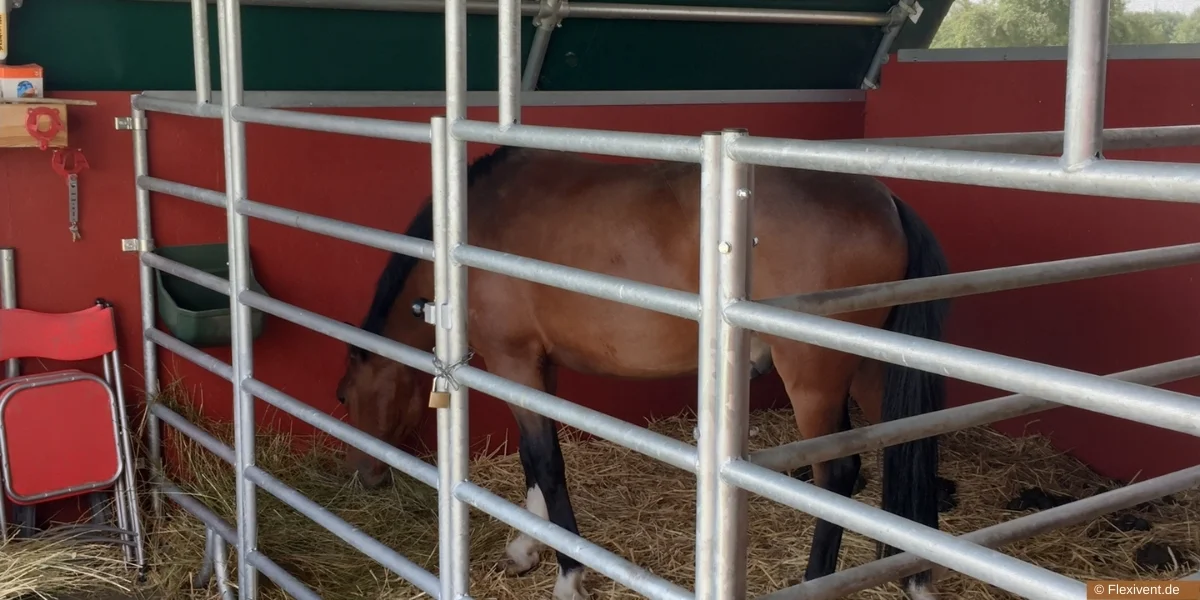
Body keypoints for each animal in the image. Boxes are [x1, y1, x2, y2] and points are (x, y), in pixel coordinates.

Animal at [336, 145, 945, 600]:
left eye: (346, 397)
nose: (365, 475)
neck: (467, 233)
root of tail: (886, 200)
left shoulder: (514, 361)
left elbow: (546, 462)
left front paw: (569, 576)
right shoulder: (537, 366)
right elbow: (534, 459)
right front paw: (525, 548)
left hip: (814, 379)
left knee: (837, 475)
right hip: (870, 371)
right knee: (904, 446)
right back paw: (913, 575)